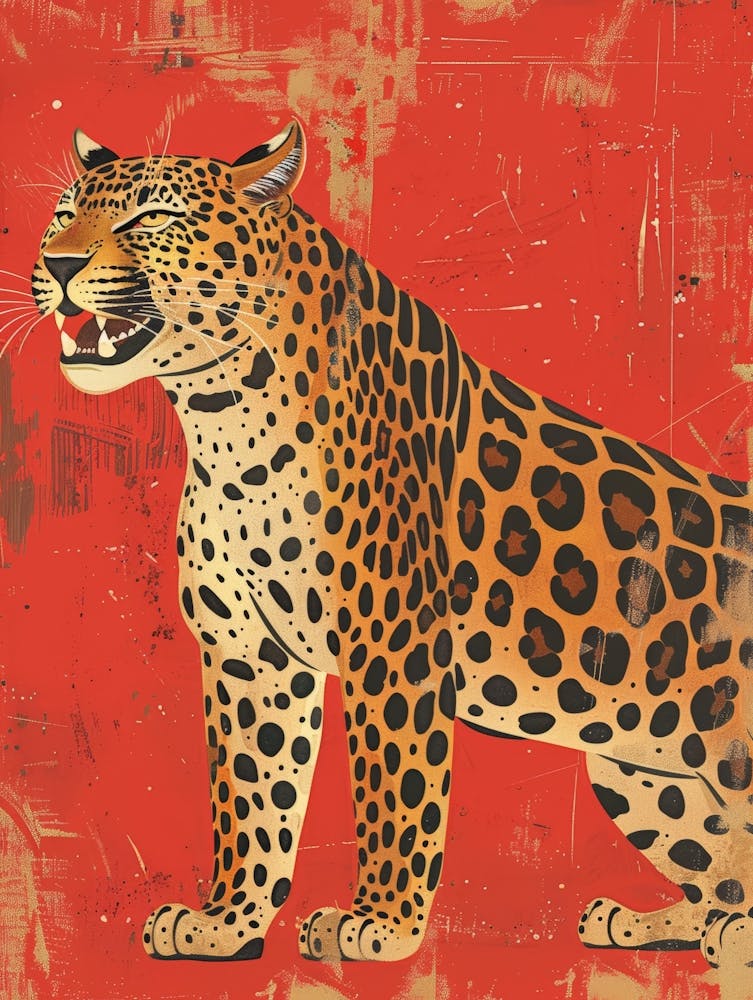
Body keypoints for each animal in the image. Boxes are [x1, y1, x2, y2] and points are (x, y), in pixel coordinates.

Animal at [31, 118, 753, 969]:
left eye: (152, 219)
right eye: (61, 216)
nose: (58, 264)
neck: (222, 420)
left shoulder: (394, 650)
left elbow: (394, 796)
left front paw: (378, 925)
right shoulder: (249, 656)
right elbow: (253, 797)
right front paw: (228, 922)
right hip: (635, 766)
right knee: (717, 872)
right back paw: (654, 922)